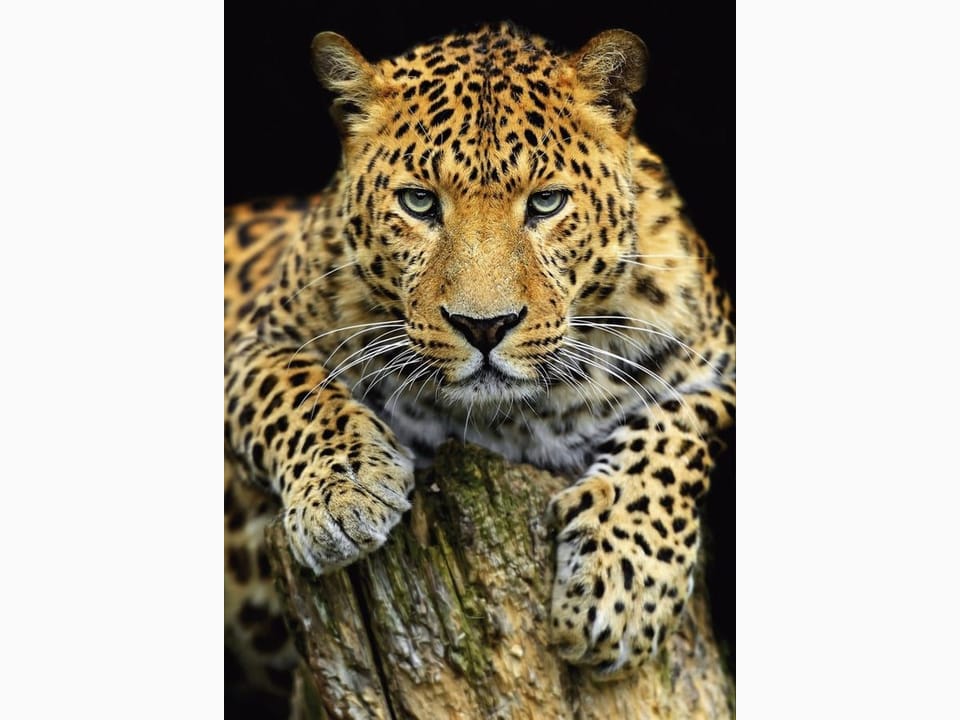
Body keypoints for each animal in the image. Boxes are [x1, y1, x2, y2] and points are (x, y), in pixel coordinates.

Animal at [224, 21, 735, 698]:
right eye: (419, 202)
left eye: (547, 203)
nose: (484, 326)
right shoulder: (255, 344)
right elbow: (297, 393)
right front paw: (344, 492)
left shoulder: (721, 366)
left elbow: (677, 432)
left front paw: (620, 587)